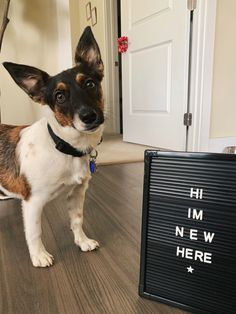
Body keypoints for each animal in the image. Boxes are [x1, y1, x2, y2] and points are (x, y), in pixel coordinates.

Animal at [0, 27, 104, 268]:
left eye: (90, 84)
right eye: (59, 96)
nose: (89, 116)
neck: (63, 147)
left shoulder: (77, 193)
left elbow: (77, 220)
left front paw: (82, 241)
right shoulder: (33, 203)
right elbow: (34, 232)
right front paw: (39, 256)